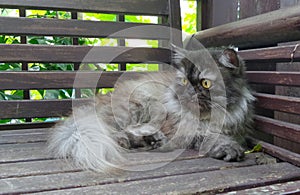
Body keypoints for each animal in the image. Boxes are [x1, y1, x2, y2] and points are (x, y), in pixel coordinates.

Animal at [48, 46, 254, 172]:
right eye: (184, 81)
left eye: (205, 83)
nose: (188, 92)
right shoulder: (182, 130)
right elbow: (210, 137)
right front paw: (228, 149)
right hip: (141, 105)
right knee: (115, 131)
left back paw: (152, 140)